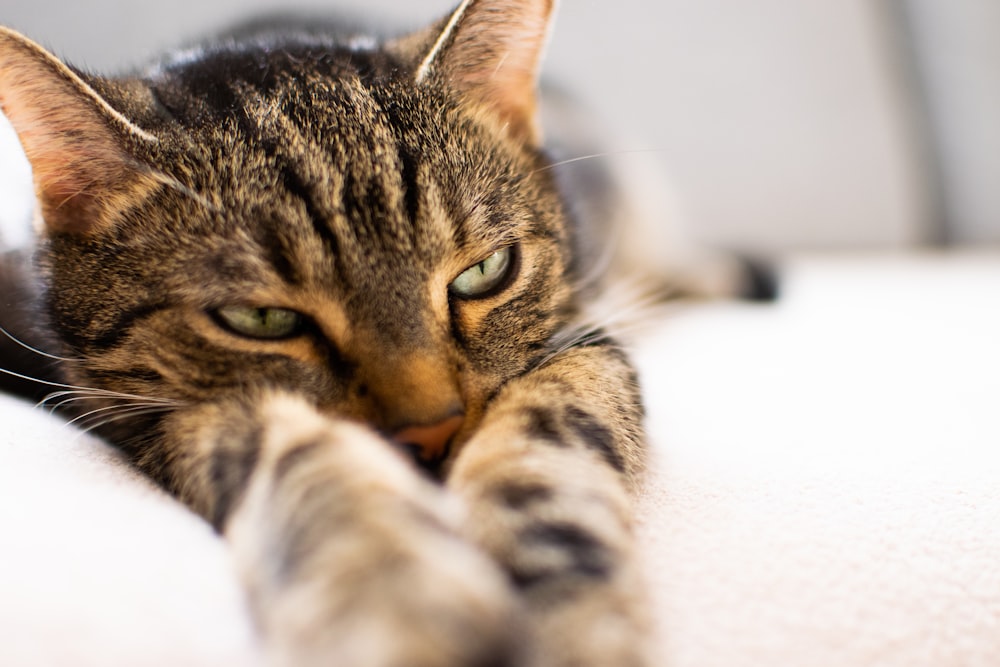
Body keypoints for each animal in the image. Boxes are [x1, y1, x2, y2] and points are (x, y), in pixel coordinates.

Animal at [0, 1, 696, 667]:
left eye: (484, 272)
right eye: (263, 320)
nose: (433, 432)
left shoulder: (581, 335)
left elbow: (546, 455)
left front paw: (563, 608)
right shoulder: (162, 414)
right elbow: (295, 457)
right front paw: (387, 589)